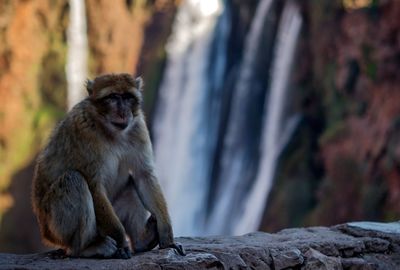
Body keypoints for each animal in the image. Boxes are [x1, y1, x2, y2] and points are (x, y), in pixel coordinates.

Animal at [32, 73, 185, 258]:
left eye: (128, 97)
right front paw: (121, 242)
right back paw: (87, 248)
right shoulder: (83, 132)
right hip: (57, 229)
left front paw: (167, 237)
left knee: (130, 187)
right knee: (74, 180)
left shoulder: (138, 126)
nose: (123, 112)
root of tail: (44, 232)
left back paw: (142, 241)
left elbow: (144, 175)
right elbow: (94, 186)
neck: (111, 130)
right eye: (112, 97)